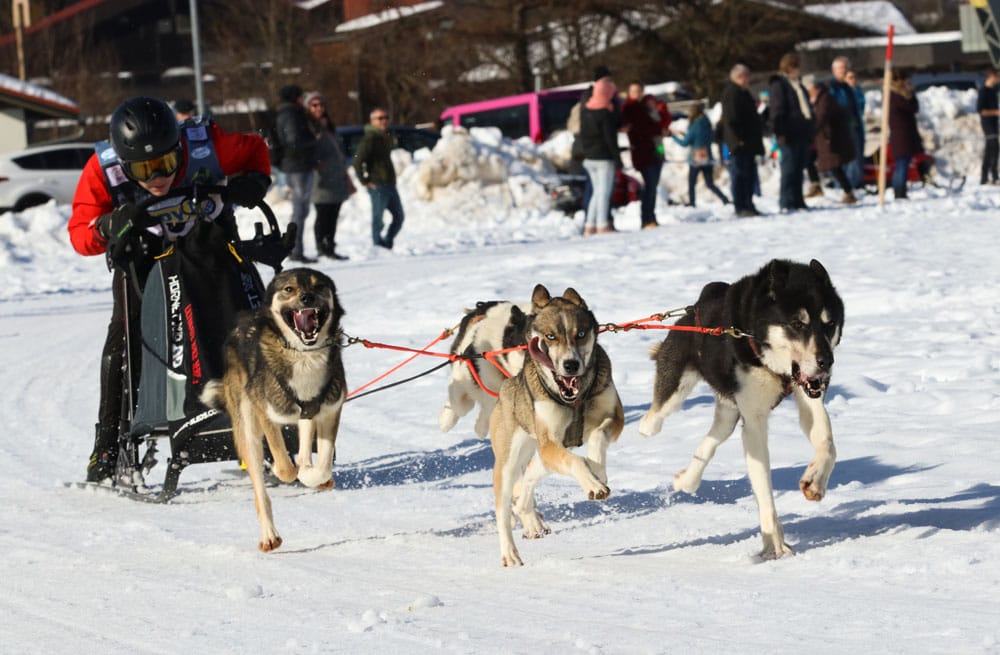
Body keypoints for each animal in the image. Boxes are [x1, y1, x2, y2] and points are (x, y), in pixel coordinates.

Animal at [201, 268, 346, 552]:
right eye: (289, 289)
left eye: (319, 286)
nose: (307, 298)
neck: (304, 356)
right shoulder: (265, 413)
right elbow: (284, 467)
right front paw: (287, 471)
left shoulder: (329, 411)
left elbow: (322, 464)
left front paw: (313, 476)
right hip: (247, 428)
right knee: (260, 488)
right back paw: (269, 534)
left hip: (306, 414)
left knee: (304, 444)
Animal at [488, 284, 620, 568]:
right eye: (550, 336)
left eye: (580, 334)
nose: (571, 364)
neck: (574, 399)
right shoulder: (550, 442)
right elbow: (577, 461)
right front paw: (593, 483)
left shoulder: (615, 417)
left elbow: (598, 437)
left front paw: (598, 470)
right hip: (509, 462)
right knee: (504, 510)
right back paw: (510, 553)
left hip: (540, 453)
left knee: (530, 476)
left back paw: (524, 506)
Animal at [640, 258, 844, 560]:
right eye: (797, 323)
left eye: (829, 324)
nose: (826, 362)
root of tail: (700, 302)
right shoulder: (755, 422)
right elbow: (764, 488)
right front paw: (775, 545)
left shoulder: (809, 395)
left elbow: (828, 444)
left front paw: (815, 481)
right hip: (673, 392)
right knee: (650, 422)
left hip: (729, 411)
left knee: (711, 440)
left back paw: (687, 481)